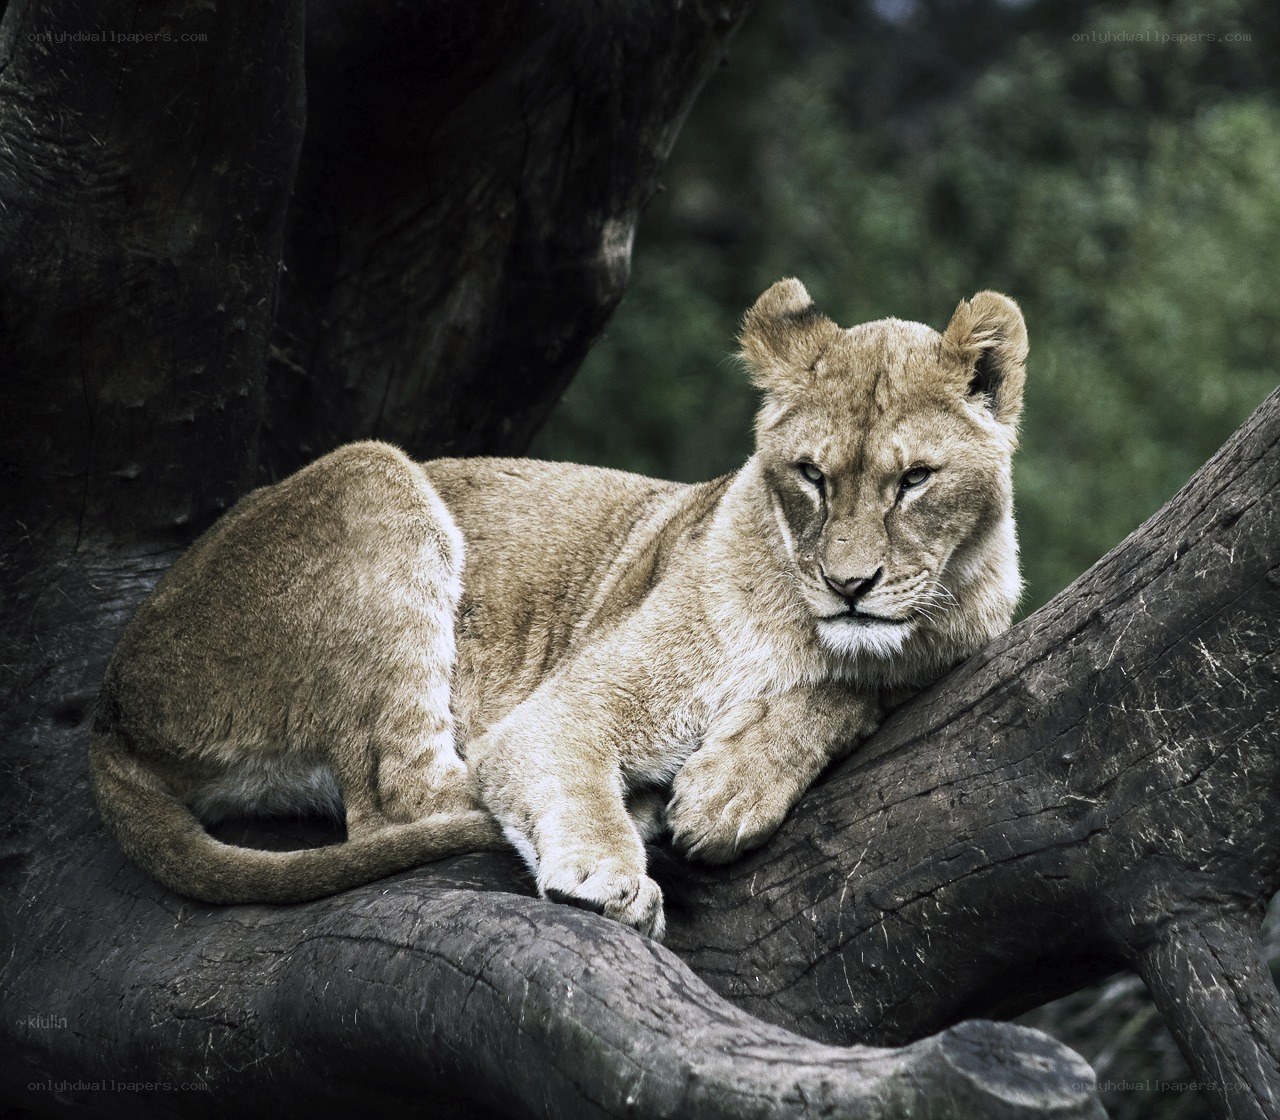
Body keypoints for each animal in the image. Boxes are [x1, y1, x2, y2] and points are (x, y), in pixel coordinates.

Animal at [90, 279, 1027, 939]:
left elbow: (849, 693)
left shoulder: (953, 644)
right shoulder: (563, 710)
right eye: (811, 476)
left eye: (915, 480)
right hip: (373, 474)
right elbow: (556, 767)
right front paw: (616, 871)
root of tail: (111, 706)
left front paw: (731, 786)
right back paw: (637, 816)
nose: (848, 585)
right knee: (401, 800)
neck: (814, 632)